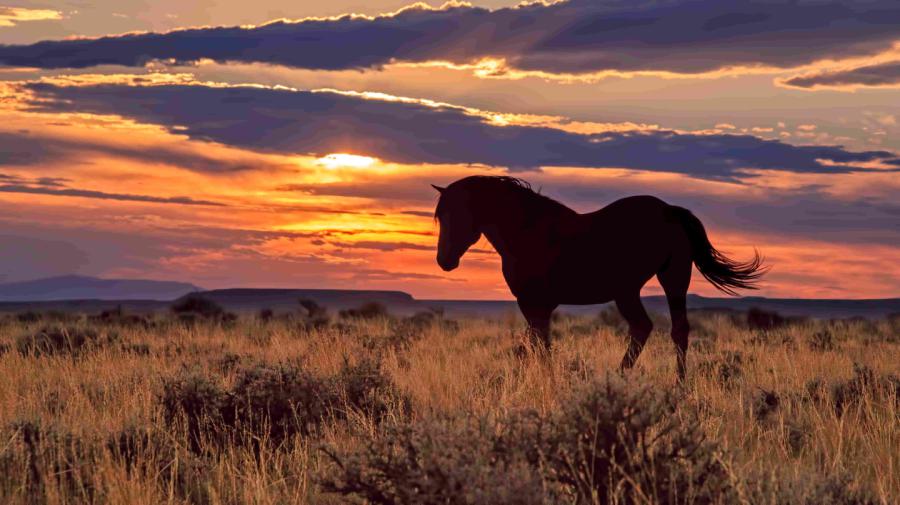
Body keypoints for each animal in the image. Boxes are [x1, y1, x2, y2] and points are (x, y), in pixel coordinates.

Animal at [430, 175, 768, 380]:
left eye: (458, 214)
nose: (444, 261)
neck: (527, 232)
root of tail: (669, 210)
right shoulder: (540, 307)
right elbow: (535, 346)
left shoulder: (534, 304)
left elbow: (539, 347)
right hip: (658, 281)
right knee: (670, 329)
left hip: (639, 287)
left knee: (650, 328)